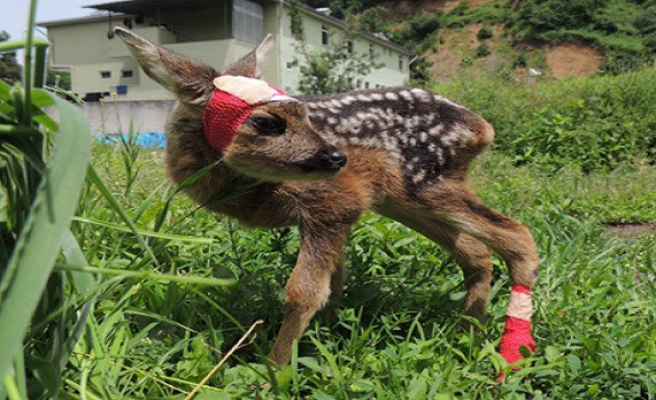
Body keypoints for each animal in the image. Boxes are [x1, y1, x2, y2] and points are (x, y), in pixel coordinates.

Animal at [116, 28, 540, 376]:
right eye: (267, 122)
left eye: (305, 113)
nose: (337, 158)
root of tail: (481, 128)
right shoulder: (343, 211)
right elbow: (333, 284)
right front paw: (327, 338)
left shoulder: (331, 202)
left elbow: (303, 292)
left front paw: (274, 374)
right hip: (402, 198)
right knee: (477, 252)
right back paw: (468, 339)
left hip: (424, 185)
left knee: (519, 238)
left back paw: (508, 361)